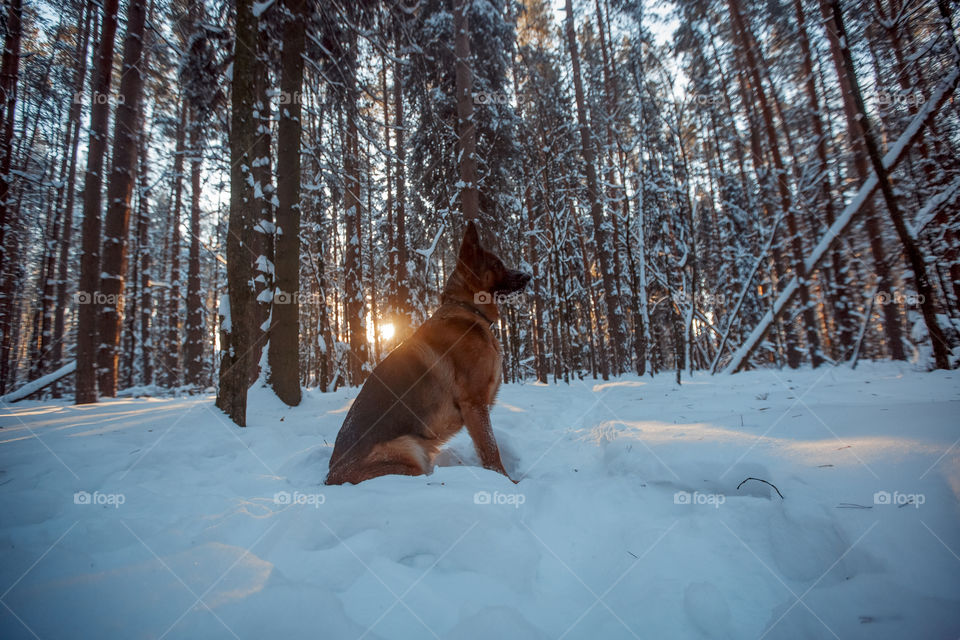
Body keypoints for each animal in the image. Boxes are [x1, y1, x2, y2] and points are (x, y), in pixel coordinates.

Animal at [326, 221, 528, 484]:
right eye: (496, 265)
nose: (529, 276)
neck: (468, 310)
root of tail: (330, 476)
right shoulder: (474, 403)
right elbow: (490, 449)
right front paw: (508, 483)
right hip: (409, 449)